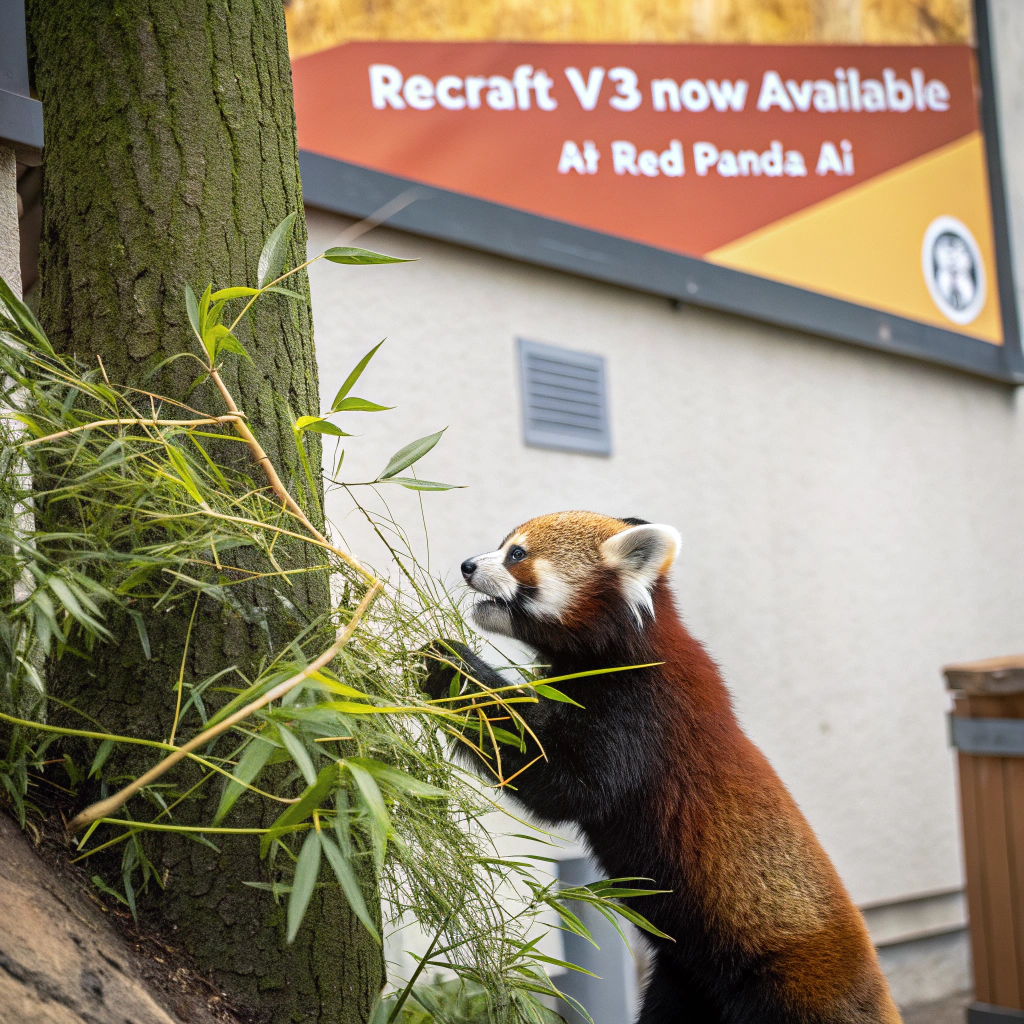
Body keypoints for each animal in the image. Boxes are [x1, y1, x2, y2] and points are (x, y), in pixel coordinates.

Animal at [421, 511, 901, 1024]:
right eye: (502, 544)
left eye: (517, 555)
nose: (468, 565)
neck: (623, 646)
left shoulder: (643, 711)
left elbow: (565, 782)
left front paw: (451, 667)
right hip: (682, 982)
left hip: (786, 990)